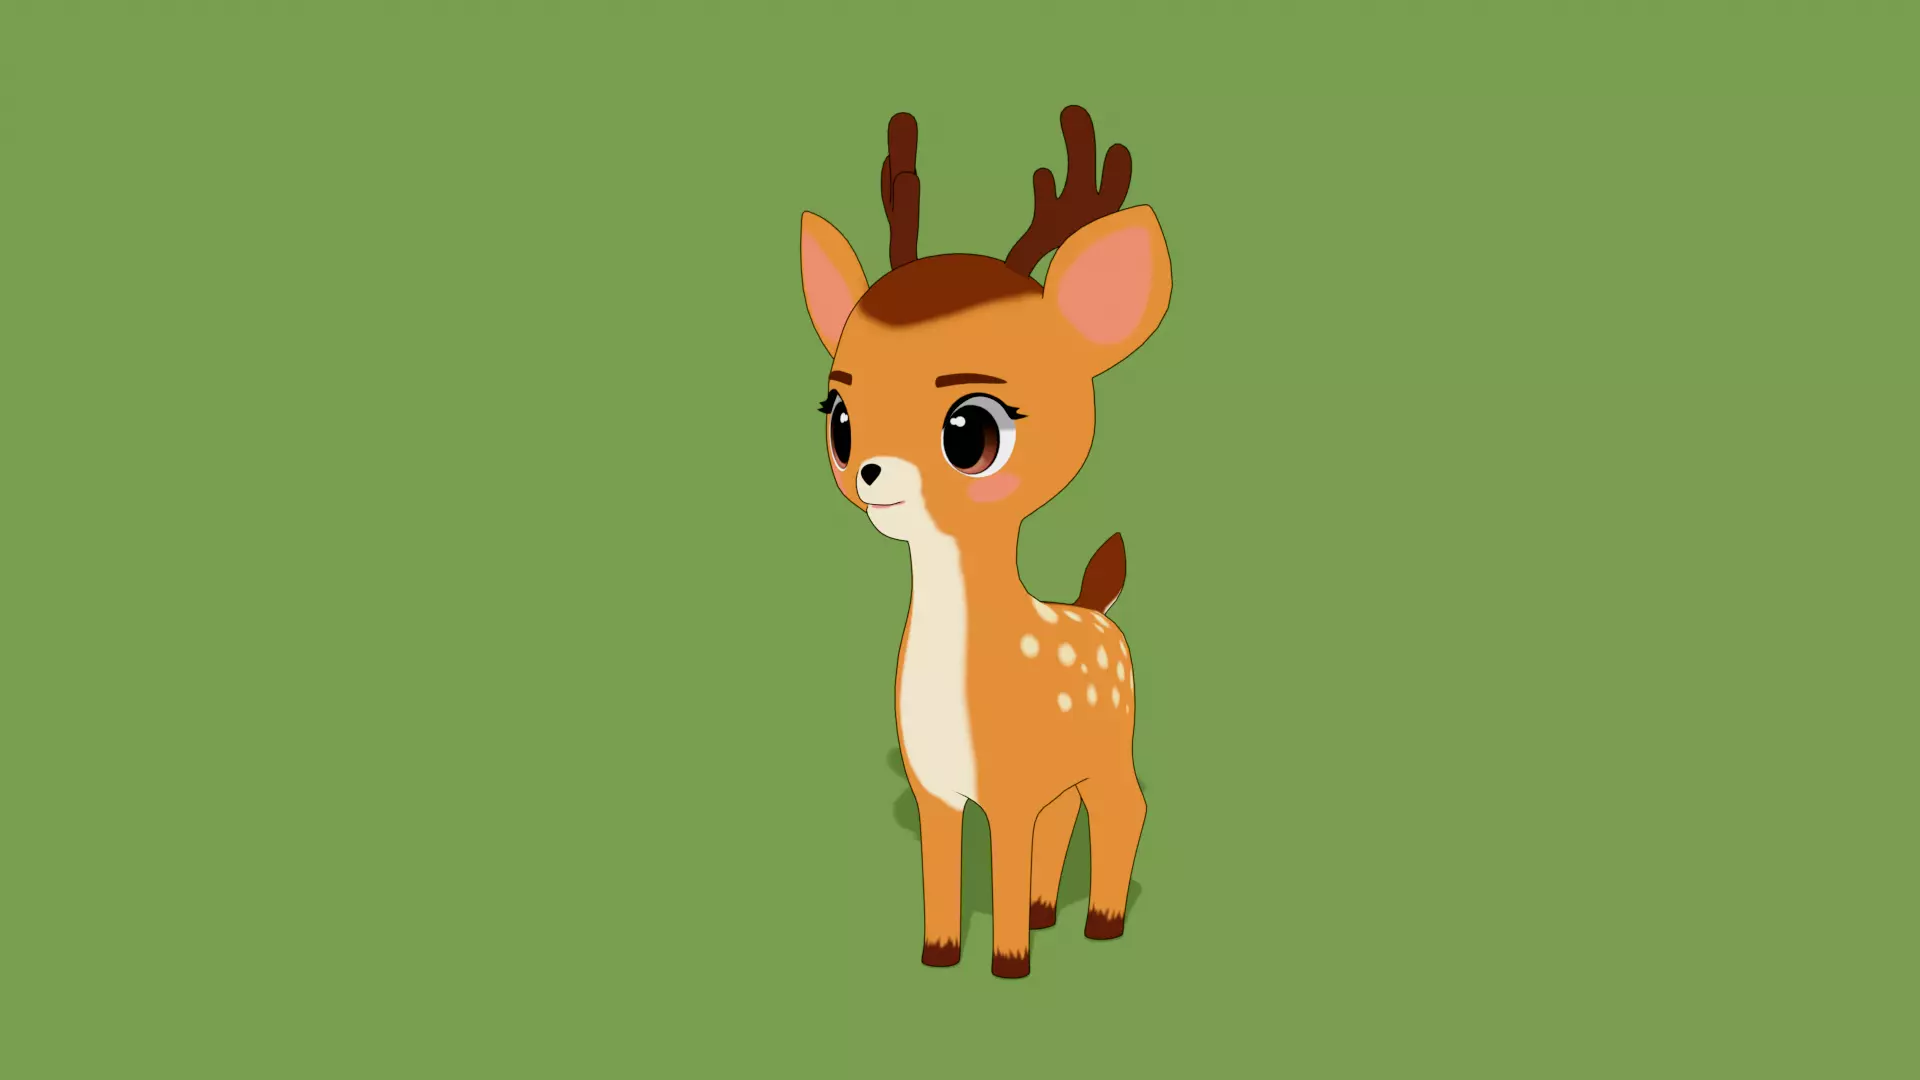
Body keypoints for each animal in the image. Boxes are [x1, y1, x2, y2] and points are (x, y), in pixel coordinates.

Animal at [798, 106, 1171, 978]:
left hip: (1112, 743)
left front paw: (1008, 963)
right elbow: (941, 869)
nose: (871, 472)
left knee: (1126, 805)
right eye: (838, 417)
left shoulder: (1009, 787)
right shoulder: (936, 787)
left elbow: (1001, 856)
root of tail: (1099, 606)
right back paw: (1045, 909)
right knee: (1071, 815)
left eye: (969, 431)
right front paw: (939, 954)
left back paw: (1100, 920)